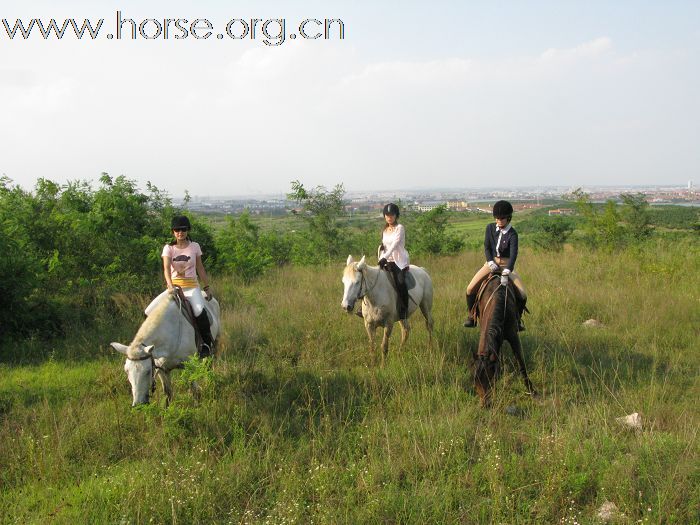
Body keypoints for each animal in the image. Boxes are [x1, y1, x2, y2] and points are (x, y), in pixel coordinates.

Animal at [476, 274, 536, 406]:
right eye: (476, 381)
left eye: (489, 379)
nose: (485, 404)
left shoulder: (513, 336)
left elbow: (521, 362)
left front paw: (532, 391)